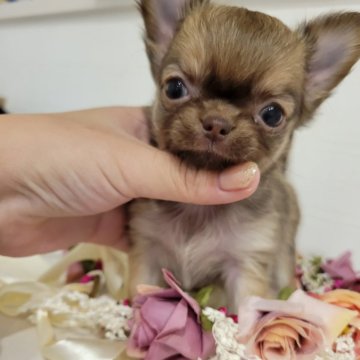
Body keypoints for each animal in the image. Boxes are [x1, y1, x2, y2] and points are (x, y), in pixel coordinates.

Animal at [129, 0, 360, 310]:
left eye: (272, 114)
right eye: (174, 88)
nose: (217, 122)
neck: (198, 209)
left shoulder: (246, 264)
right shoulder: (147, 251)